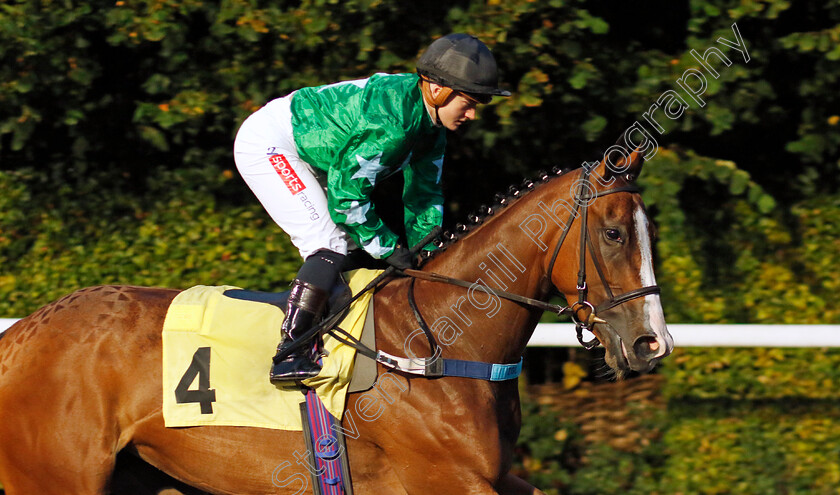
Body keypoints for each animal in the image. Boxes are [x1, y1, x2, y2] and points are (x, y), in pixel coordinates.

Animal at [0, 152, 668, 495]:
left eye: (650, 233)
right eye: (613, 234)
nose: (650, 343)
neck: (441, 345)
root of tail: (23, 333)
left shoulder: (498, 477)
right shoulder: (446, 480)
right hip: (57, 478)